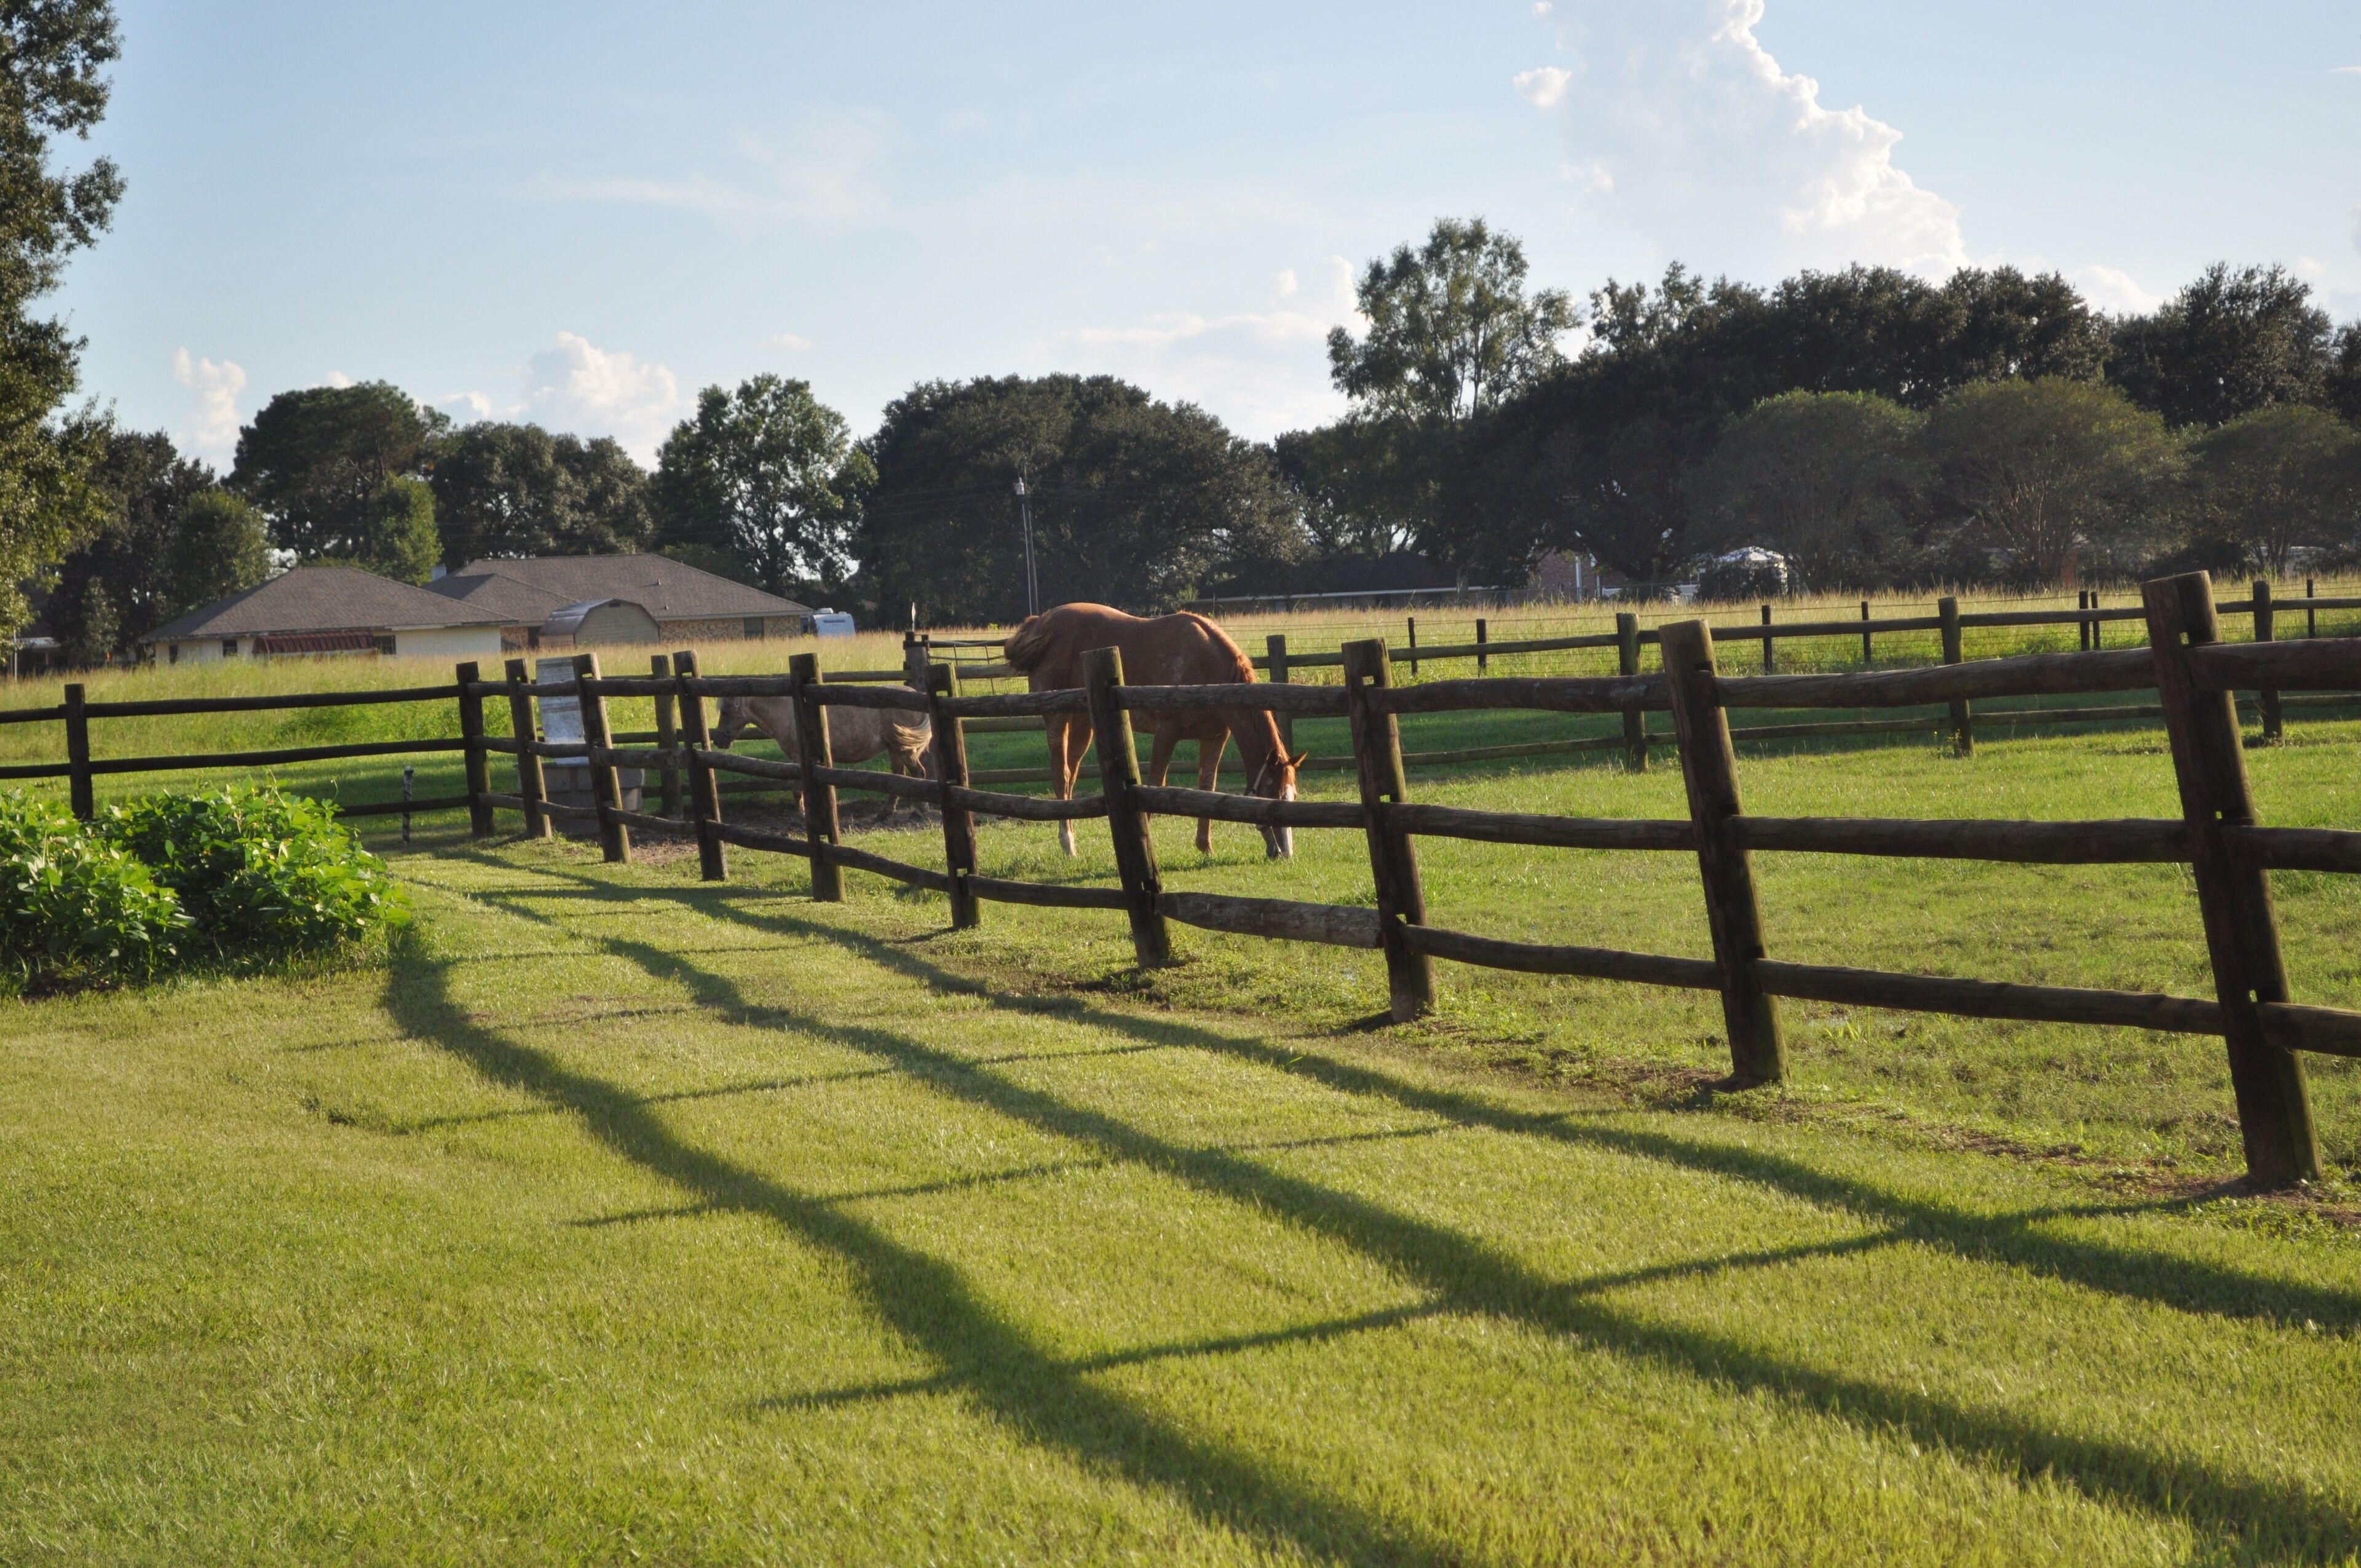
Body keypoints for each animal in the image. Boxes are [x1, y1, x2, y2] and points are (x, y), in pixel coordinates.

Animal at [711, 695, 933, 816]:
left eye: (727, 710)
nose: (719, 739)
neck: (789, 713)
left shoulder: (798, 758)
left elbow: (797, 789)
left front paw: (801, 813)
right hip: (894, 749)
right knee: (898, 779)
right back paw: (885, 814)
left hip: (904, 750)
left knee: (919, 774)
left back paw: (920, 810)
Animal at [1002, 603, 1306, 858]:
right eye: (1272, 795)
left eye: (1293, 797)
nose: (1284, 853)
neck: (1205, 665)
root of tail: (1043, 623)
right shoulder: (1166, 734)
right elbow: (1155, 784)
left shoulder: (1214, 737)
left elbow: (1207, 786)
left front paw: (1205, 845)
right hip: (1057, 718)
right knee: (1060, 774)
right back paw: (1067, 843)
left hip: (1083, 722)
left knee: (1071, 775)